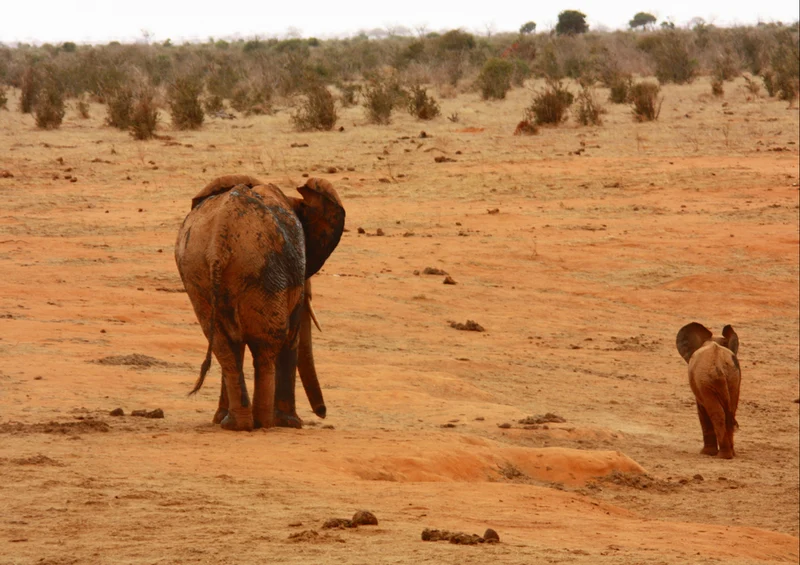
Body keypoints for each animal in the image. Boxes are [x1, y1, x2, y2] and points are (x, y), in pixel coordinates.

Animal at [175, 174, 345, 431]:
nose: (322, 413)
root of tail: (219, 239)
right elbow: (292, 336)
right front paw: (291, 423)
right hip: (263, 273)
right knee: (267, 345)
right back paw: (265, 422)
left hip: (199, 276)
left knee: (225, 346)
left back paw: (234, 423)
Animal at [676, 322, 741, 459]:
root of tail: (719, 367)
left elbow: (702, 410)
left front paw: (706, 453)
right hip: (733, 378)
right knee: (731, 411)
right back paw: (731, 454)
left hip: (707, 382)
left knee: (717, 413)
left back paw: (723, 455)